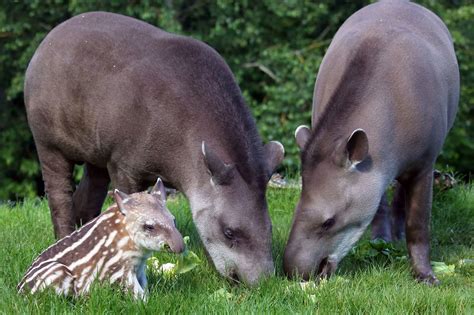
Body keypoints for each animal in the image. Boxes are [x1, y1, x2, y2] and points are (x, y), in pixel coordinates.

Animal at [17, 179, 183, 300]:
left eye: (174, 220)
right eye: (149, 226)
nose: (180, 247)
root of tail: (20, 291)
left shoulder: (139, 267)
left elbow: (144, 286)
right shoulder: (118, 269)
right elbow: (137, 292)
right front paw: (146, 303)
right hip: (56, 273)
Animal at [284, 0, 458, 286]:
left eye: (329, 222)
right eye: (297, 206)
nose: (293, 272)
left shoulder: (425, 161)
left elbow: (418, 223)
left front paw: (426, 276)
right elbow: (374, 202)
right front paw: (380, 241)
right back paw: (383, 238)